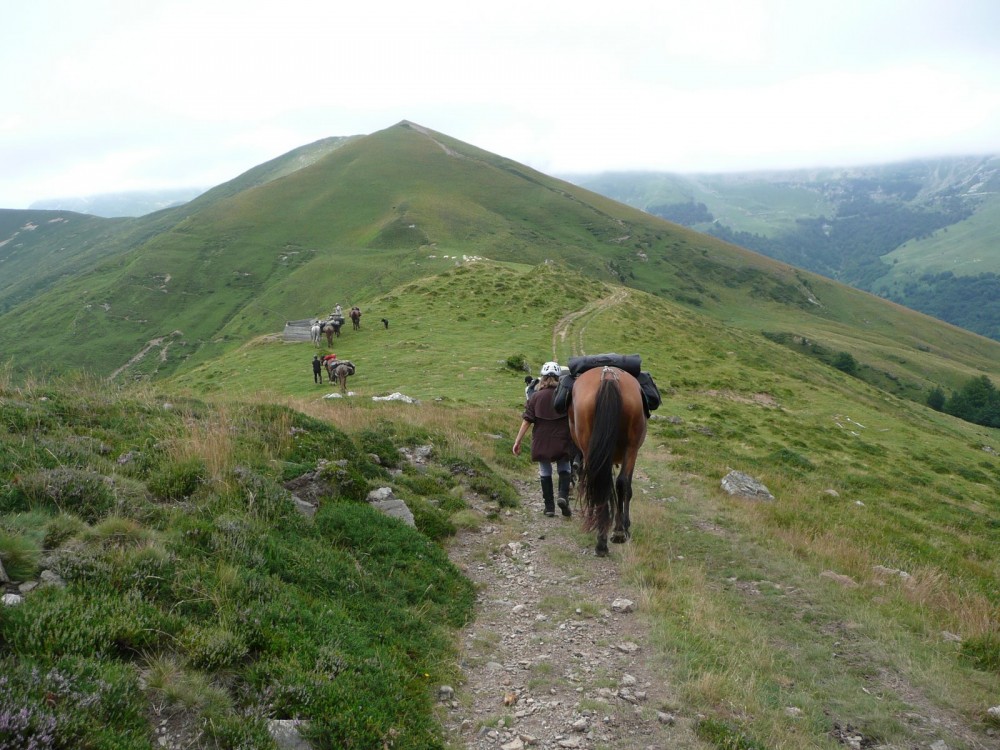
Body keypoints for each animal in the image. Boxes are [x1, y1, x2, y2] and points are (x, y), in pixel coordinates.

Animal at [572, 368, 648, 556]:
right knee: (621, 483)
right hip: (631, 448)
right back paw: (617, 532)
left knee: (598, 482)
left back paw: (602, 539)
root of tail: (608, 375)